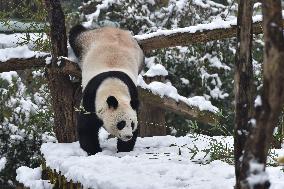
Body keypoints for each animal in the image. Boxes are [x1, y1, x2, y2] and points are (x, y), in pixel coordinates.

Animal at [69, 25, 144, 155]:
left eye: (132, 123)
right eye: (121, 123)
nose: (128, 136)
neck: (113, 86)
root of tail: (114, 29)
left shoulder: (132, 94)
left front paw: (124, 149)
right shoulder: (91, 98)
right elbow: (86, 127)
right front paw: (94, 150)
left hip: (139, 55)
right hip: (87, 40)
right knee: (76, 34)